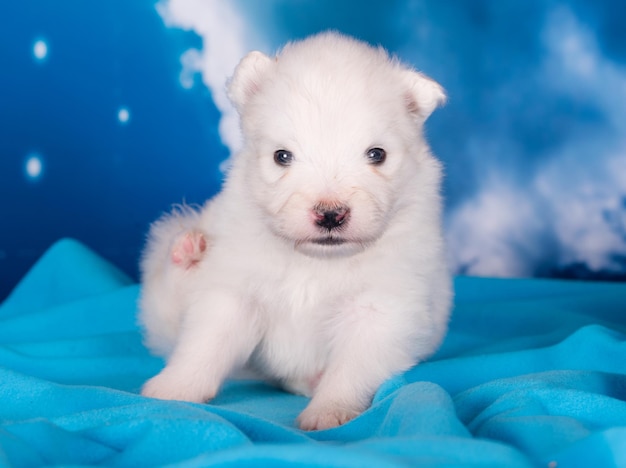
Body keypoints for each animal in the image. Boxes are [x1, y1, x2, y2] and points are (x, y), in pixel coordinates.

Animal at [138, 31, 448, 430]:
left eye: (377, 154)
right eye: (281, 156)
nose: (330, 215)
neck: (315, 260)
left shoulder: (379, 310)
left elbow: (351, 368)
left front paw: (329, 411)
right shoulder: (232, 294)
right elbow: (205, 344)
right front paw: (175, 388)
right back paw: (188, 254)